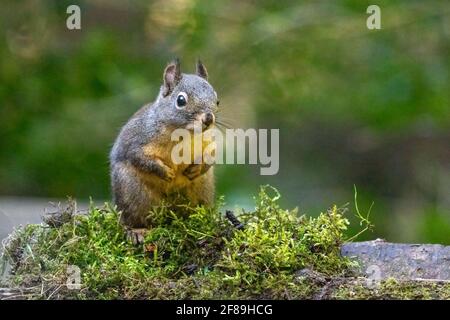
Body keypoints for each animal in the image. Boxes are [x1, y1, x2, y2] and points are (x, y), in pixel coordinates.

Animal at [110, 58, 220, 242]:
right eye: (181, 100)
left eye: (217, 100)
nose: (208, 118)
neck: (185, 134)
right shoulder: (138, 140)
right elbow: (139, 157)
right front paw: (164, 172)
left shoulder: (209, 142)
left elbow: (210, 157)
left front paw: (196, 169)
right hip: (132, 192)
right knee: (132, 218)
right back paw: (136, 231)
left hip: (202, 188)